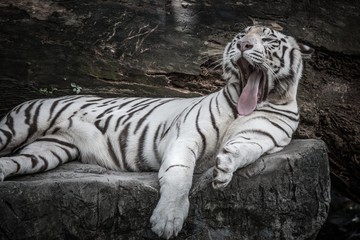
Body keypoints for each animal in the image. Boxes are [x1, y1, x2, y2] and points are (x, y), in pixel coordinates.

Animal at [0, 26, 312, 238]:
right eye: (241, 35)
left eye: (268, 39)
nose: (243, 44)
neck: (245, 106)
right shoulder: (186, 136)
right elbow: (179, 175)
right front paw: (168, 221)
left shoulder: (261, 138)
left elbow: (244, 151)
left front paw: (224, 168)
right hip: (19, 126)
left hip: (45, 152)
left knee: (10, 163)